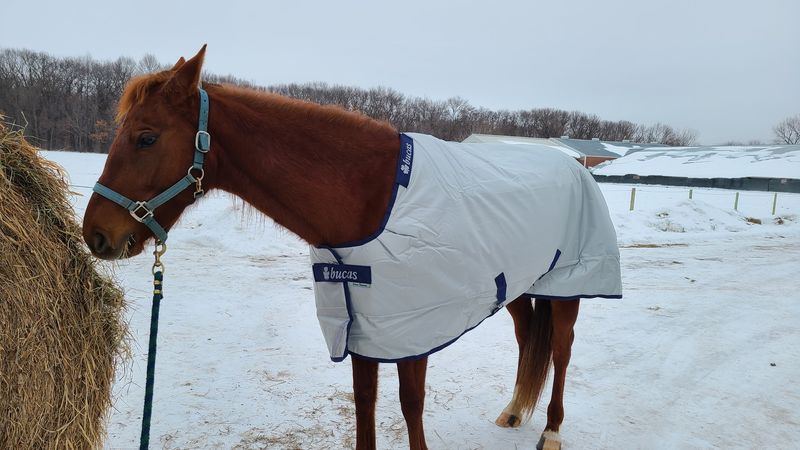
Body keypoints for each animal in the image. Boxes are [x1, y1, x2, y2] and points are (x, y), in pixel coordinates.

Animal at [82, 46, 621, 450]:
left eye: (146, 137)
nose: (96, 235)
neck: (370, 197)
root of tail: (574, 165)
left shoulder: (411, 331)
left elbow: (410, 403)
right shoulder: (363, 326)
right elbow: (365, 402)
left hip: (569, 286)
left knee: (561, 348)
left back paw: (551, 431)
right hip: (517, 286)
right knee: (528, 337)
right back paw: (512, 412)